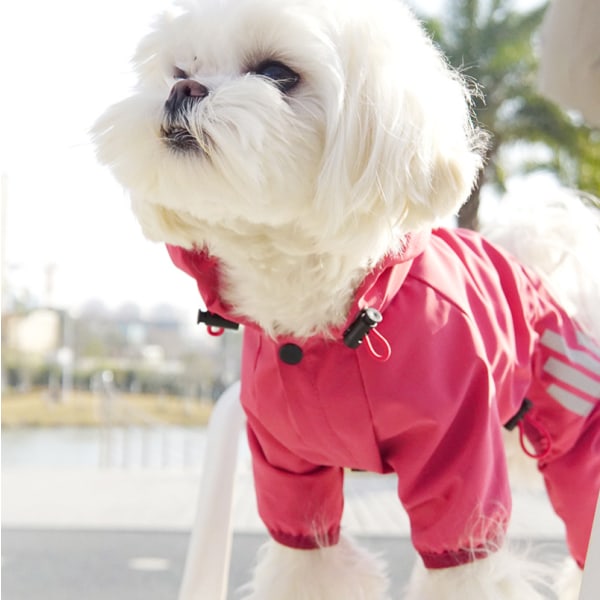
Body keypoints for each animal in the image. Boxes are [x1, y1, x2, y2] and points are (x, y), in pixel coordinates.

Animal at [94, 2, 600, 596]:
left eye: (277, 73)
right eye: (179, 70)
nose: (183, 89)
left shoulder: (461, 456)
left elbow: (463, 562)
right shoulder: (287, 471)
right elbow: (310, 562)